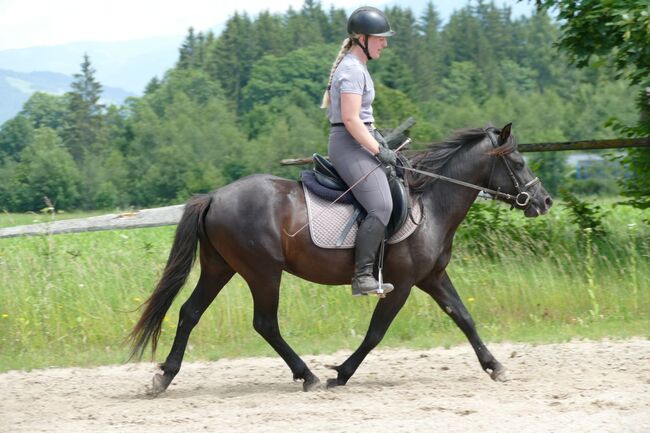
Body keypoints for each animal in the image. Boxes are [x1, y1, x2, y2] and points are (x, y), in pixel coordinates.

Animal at [128, 123, 552, 394]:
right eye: (518, 162)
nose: (544, 201)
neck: (430, 203)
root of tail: (214, 196)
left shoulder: (432, 277)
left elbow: (464, 317)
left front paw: (495, 366)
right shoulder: (402, 284)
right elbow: (376, 332)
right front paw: (341, 374)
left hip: (221, 268)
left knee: (190, 313)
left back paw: (164, 377)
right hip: (262, 272)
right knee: (265, 323)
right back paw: (308, 376)